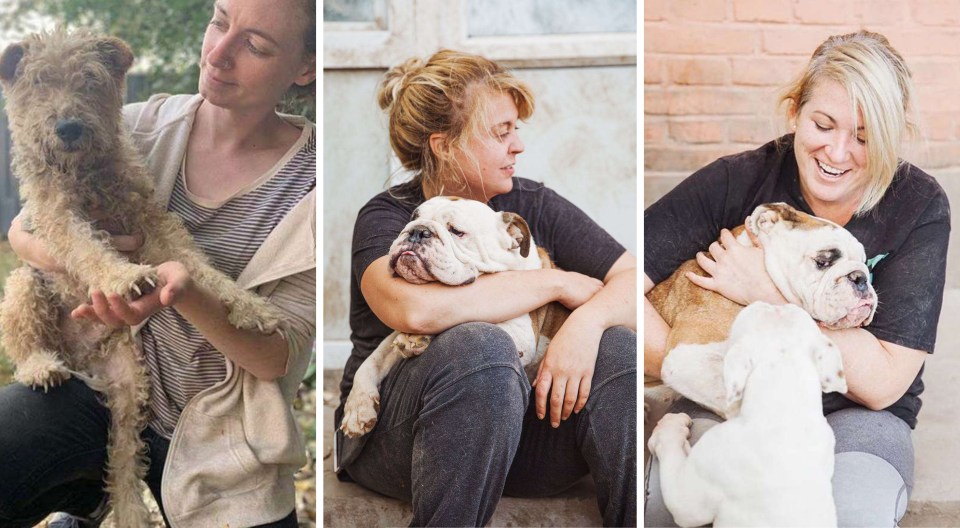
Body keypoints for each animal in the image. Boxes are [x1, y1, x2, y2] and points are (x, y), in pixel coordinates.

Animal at [0, 29, 282, 528]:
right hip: (24, 287)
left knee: (124, 462)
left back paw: (132, 511)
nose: (68, 127)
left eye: (89, 80)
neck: (87, 172)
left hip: (130, 388)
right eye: (38, 82)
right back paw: (41, 366)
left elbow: (198, 265)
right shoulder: (56, 218)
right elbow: (88, 249)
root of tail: (82, 359)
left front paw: (249, 305)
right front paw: (121, 276)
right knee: (25, 341)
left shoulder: (151, 221)